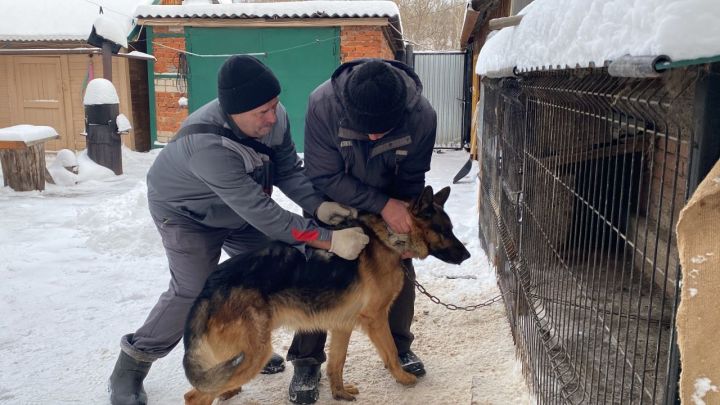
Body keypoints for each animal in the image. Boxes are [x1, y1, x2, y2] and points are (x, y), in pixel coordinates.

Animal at [183, 185, 470, 402]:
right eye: (444, 230)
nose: (467, 255)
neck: (388, 237)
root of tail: (210, 285)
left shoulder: (343, 325)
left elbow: (336, 363)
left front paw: (339, 393)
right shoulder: (375, 319)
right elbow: (390, 351)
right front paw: (402, 378)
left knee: (210, 386)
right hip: (254, 354)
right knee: (194, 396)